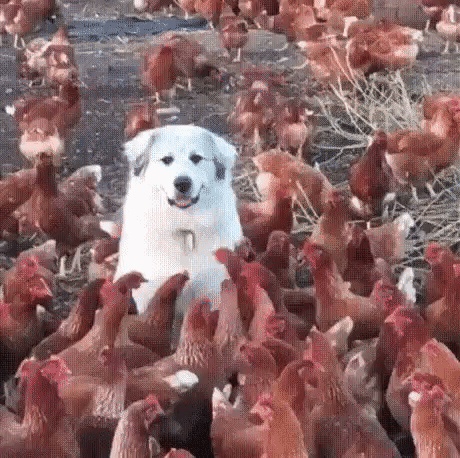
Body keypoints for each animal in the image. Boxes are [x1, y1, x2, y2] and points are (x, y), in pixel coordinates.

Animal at [114, 125, 243, 316]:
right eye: (167, 159)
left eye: (196, 158)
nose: (182, 183)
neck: (184, 227)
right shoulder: (150, 291)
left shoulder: (214, 288)